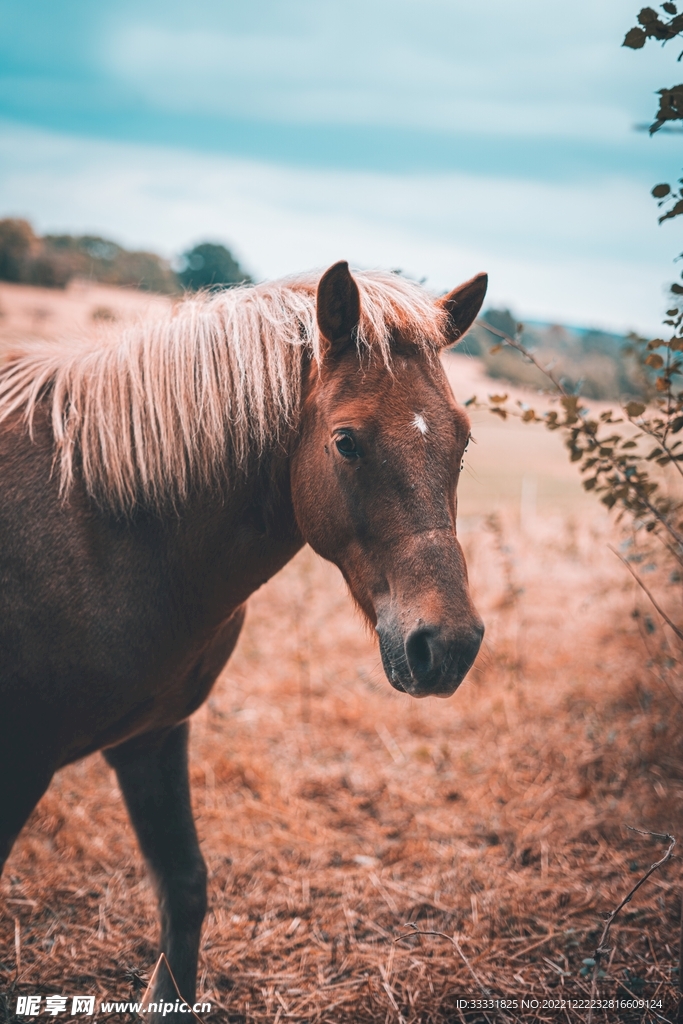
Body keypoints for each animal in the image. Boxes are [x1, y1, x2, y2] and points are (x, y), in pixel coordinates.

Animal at [0, 261, 486, 1021]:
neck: (105, 525)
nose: (450, 644)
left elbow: (185, 887)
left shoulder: (151, 737)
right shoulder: (20, 760)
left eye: (460, 440)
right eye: (347, 441)